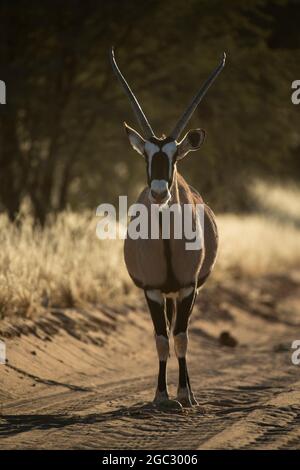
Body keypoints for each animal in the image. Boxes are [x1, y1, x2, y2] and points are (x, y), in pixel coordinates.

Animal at [110, 48, 225, 408]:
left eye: (175, 156)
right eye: (146, 155)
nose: (160, 192)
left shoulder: (188, 287)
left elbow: (181, 337)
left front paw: (186, 395)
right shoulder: (152, 289)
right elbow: (161, 338)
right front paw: (161, 396)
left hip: (185, 291)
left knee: (180, 333)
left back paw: (187, 391)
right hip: (168, 293)